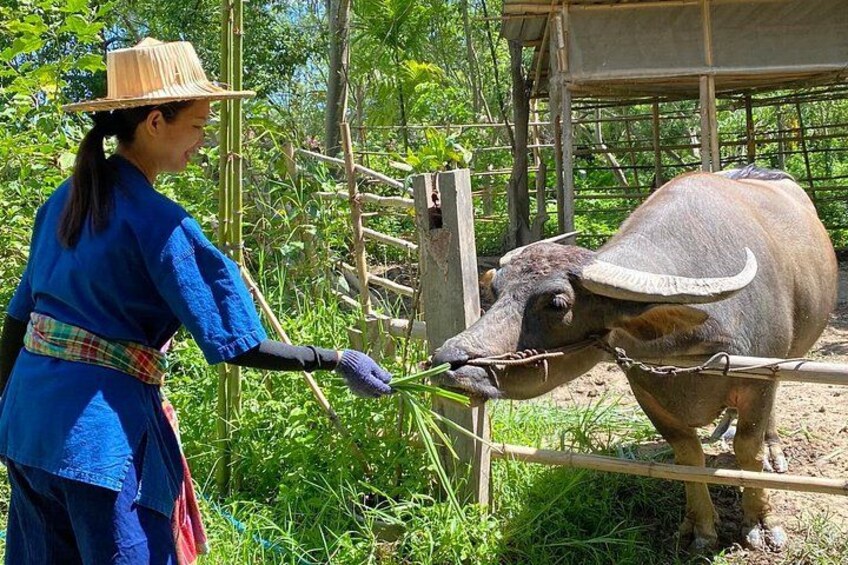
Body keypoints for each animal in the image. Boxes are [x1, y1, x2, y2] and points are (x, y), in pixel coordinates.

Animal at [432, 166, 837, 551]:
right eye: (495, 291)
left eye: (557, 304)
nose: (447, 359)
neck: (691, 348)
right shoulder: (646, 390)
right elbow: (687, 455)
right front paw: (700, 527)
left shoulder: (757, 381)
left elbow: (748, 453)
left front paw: (761, 524)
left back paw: (773, 450)